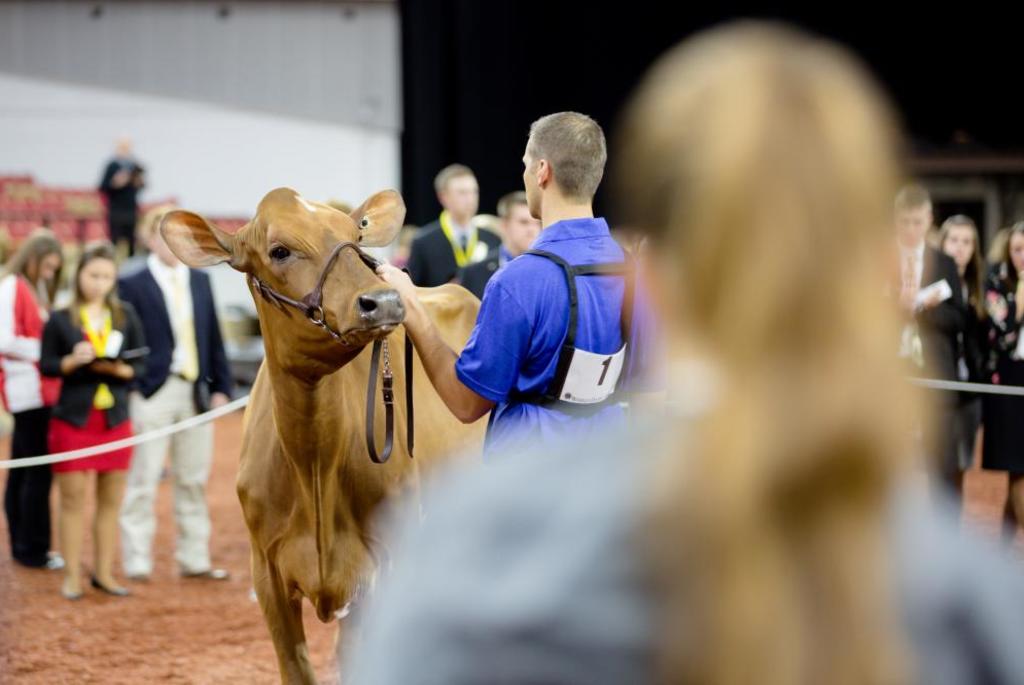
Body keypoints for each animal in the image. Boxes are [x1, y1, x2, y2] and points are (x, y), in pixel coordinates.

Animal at [158, 188, 483, 683]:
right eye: (279, 250)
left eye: (357, 236)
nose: (384, 301)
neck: (313, 465)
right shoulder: (266, 575)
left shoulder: (380, 570)